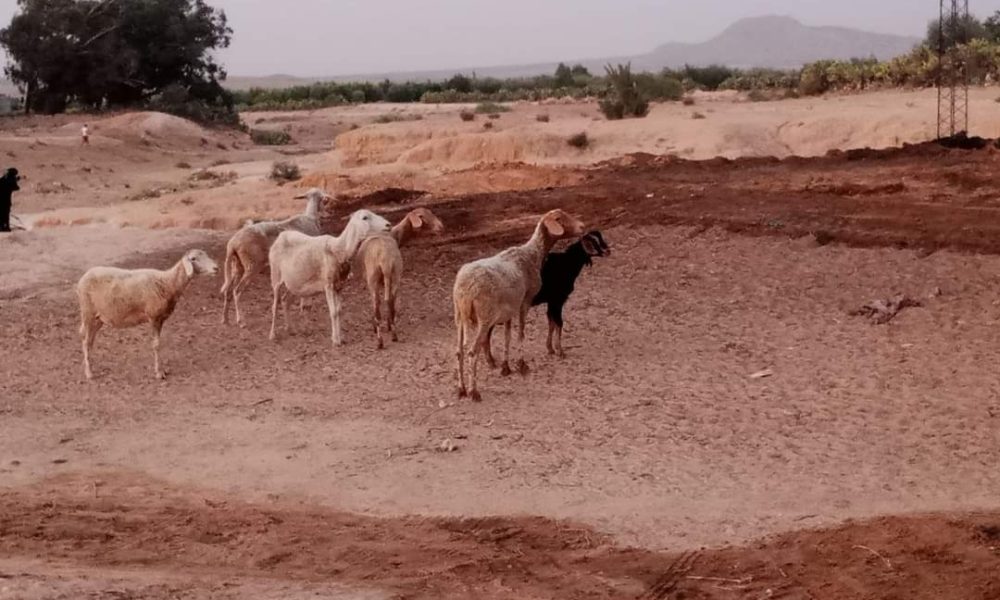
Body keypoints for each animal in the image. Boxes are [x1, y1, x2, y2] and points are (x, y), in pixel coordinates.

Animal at [76, 247, 219, 380]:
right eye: (193, 259)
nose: (216, 268)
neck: (167, 282)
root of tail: (83, 277)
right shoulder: (154, 317)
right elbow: (156, 345)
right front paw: (158, 373)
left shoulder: (161, 319)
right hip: (87, 312)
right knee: (86, 341)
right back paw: (89, 373)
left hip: (98, 317)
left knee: (89, 341)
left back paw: (89, 366)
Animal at [221, 189, 330, 326]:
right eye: (323, 200)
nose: (326, 213)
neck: (311, 218)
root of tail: (233, 243)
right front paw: (305, 308)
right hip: (252, 265)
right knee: (237, 291)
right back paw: (241, 321)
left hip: (238, 264)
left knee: (228, 291)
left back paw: (225, 319)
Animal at [266, 209, 390, 346]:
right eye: (365, 217)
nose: (388, 225)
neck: (338, 249)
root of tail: (280, 236)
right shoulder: (328, 285)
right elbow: (333, 312)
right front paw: (335, 340)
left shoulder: (340, 285)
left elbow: (339, 311)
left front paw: (341, 337)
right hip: (275, 276)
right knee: (274, 305)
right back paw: (272, 335)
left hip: (294, 283)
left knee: (285, 301)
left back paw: (290, 329)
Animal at [354, 206, 444, 346]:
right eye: (422, 216)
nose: (441, 227)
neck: (395, 236)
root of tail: (384, 259)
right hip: (394, 274)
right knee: (389, 300)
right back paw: (392, 333)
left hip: (376, 277)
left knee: (379, 303)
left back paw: (381, 338)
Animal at [456, 209, 584, 400]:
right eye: (559, 219)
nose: (582, 226)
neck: (533, 254)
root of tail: (466, 289)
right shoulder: (525, 301)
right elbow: (521, 333)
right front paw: (522, 364)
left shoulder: (510, 307)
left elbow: (508, 336)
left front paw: (506, 367)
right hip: (484, 317)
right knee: (472, 352)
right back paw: (474, 392)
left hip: (459, 317)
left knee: (459, 351)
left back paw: (461, 389)